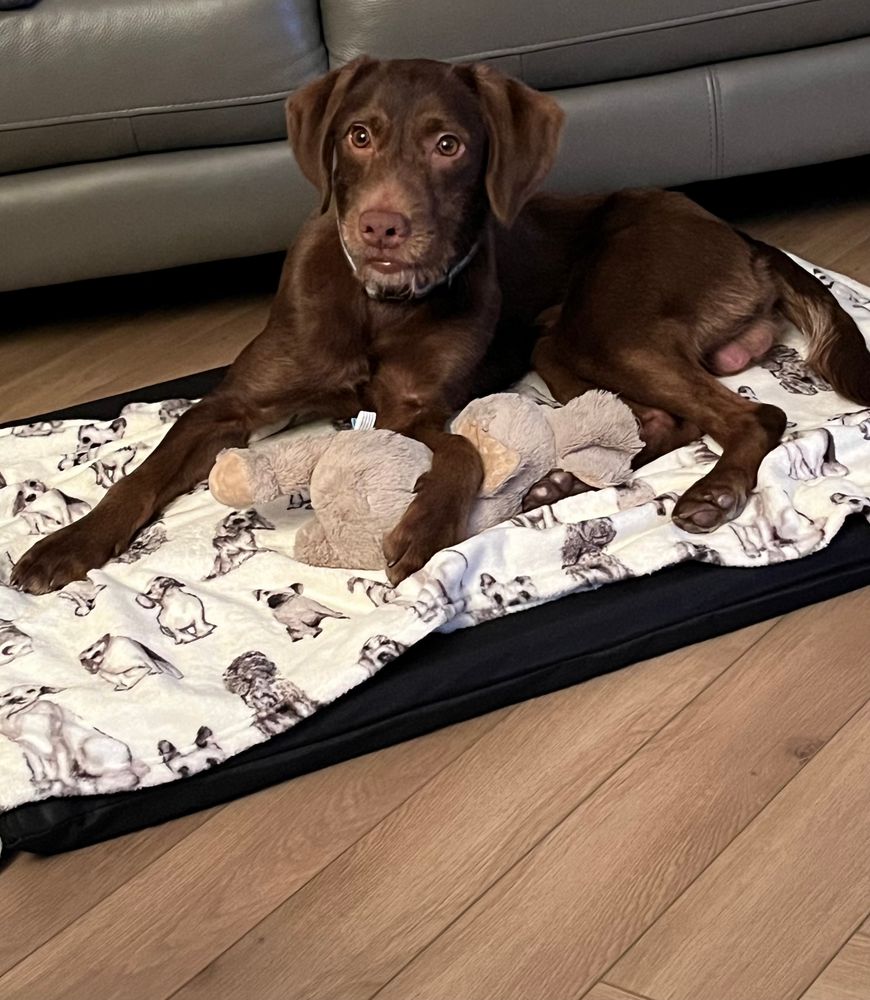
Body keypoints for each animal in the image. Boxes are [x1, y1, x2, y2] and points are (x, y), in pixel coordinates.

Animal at [0, 684, 148, 796]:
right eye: (6, 695)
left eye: (30, 690)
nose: (15, 699)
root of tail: (128, 759)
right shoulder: (29, 749)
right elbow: (39, 769)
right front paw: (44, 782)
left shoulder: (56, 744)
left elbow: (62, 772)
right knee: (126, 778)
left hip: (87, 746)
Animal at [13, 58, 870, 595]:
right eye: (357, 135)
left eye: (448, 145)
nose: (381, 228)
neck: (378, 303)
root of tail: (739, 235)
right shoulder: (230, 406)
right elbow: (144, 473)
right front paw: (67, 545)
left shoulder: (417, 410)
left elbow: (457, 448)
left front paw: (423, 529)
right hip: (563, 344)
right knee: (659, 420)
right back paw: (556, 483)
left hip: (612, 323)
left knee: (753, 414)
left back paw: (712, 493)